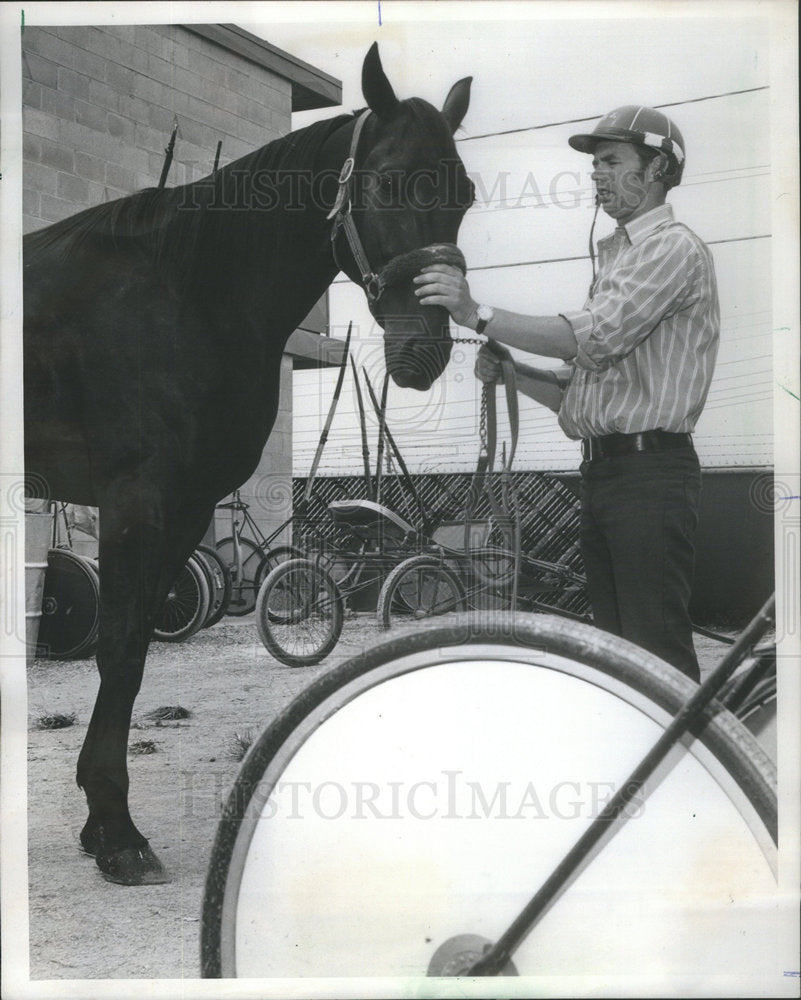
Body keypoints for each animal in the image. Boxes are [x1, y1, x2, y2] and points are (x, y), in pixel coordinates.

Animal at [25, 43, 476, 884]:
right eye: (391, 182)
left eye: (462, 194)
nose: (424, 353)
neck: (187, 289)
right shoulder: (136, 498)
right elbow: (118, 647)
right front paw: (116, 830)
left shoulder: (188, 507)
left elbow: (135, 649)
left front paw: (101, 824)